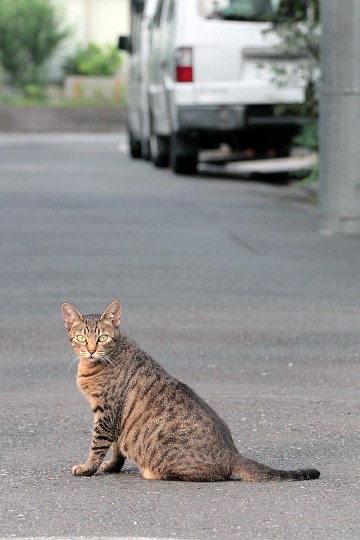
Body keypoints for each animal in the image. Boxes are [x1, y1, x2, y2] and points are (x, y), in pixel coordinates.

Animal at [60, 302, 320, 484]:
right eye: (81, 337)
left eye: (102, 337)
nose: (91, 350)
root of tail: (232, 453)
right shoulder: (114, 417)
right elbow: (116, 448)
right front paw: (112, 466)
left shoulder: (107, 412)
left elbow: (98, 445)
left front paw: (87, 468)